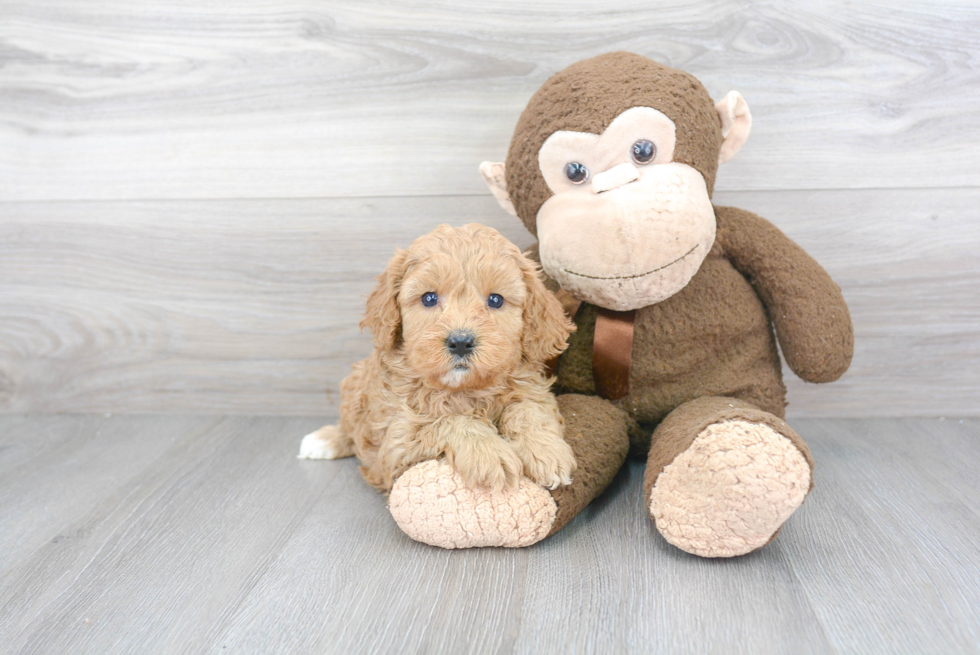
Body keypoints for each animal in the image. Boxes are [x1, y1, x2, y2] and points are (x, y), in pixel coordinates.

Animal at [298, 223, 576, 494]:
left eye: (496, 300)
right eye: (429, 298)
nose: (461, 342)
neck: (464, 390)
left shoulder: (533, 390)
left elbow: (528, 411)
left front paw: (547, 451)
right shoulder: (397, 438)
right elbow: (448, 420)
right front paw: (488, 455)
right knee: (349, 428)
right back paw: (324, 440)